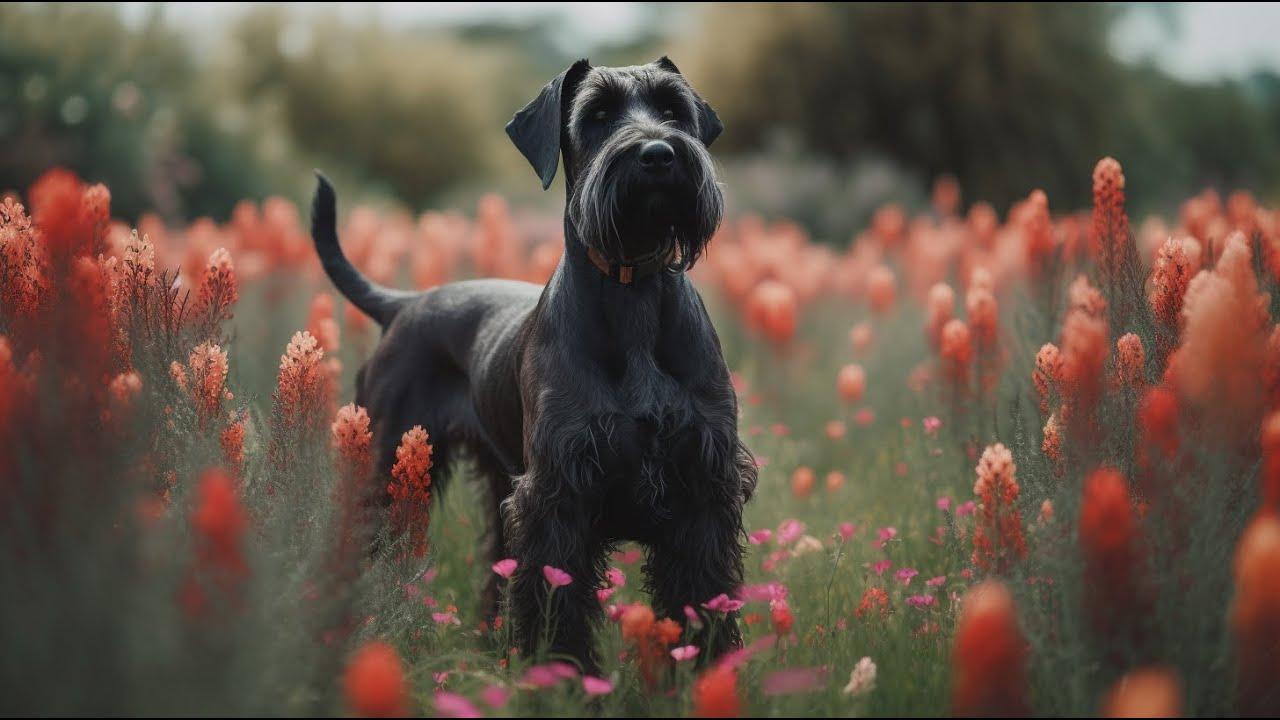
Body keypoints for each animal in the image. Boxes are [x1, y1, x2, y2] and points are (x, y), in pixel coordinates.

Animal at [311, 54, 752, 666]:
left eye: (672, 108)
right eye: (597, 114)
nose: (658, 154)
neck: (634, 289)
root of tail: (403, 304)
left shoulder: (702, 488)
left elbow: (702, 596)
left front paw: (707, 669)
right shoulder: (556, 496)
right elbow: (555, 602)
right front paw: (562, 674)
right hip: (385, 463)